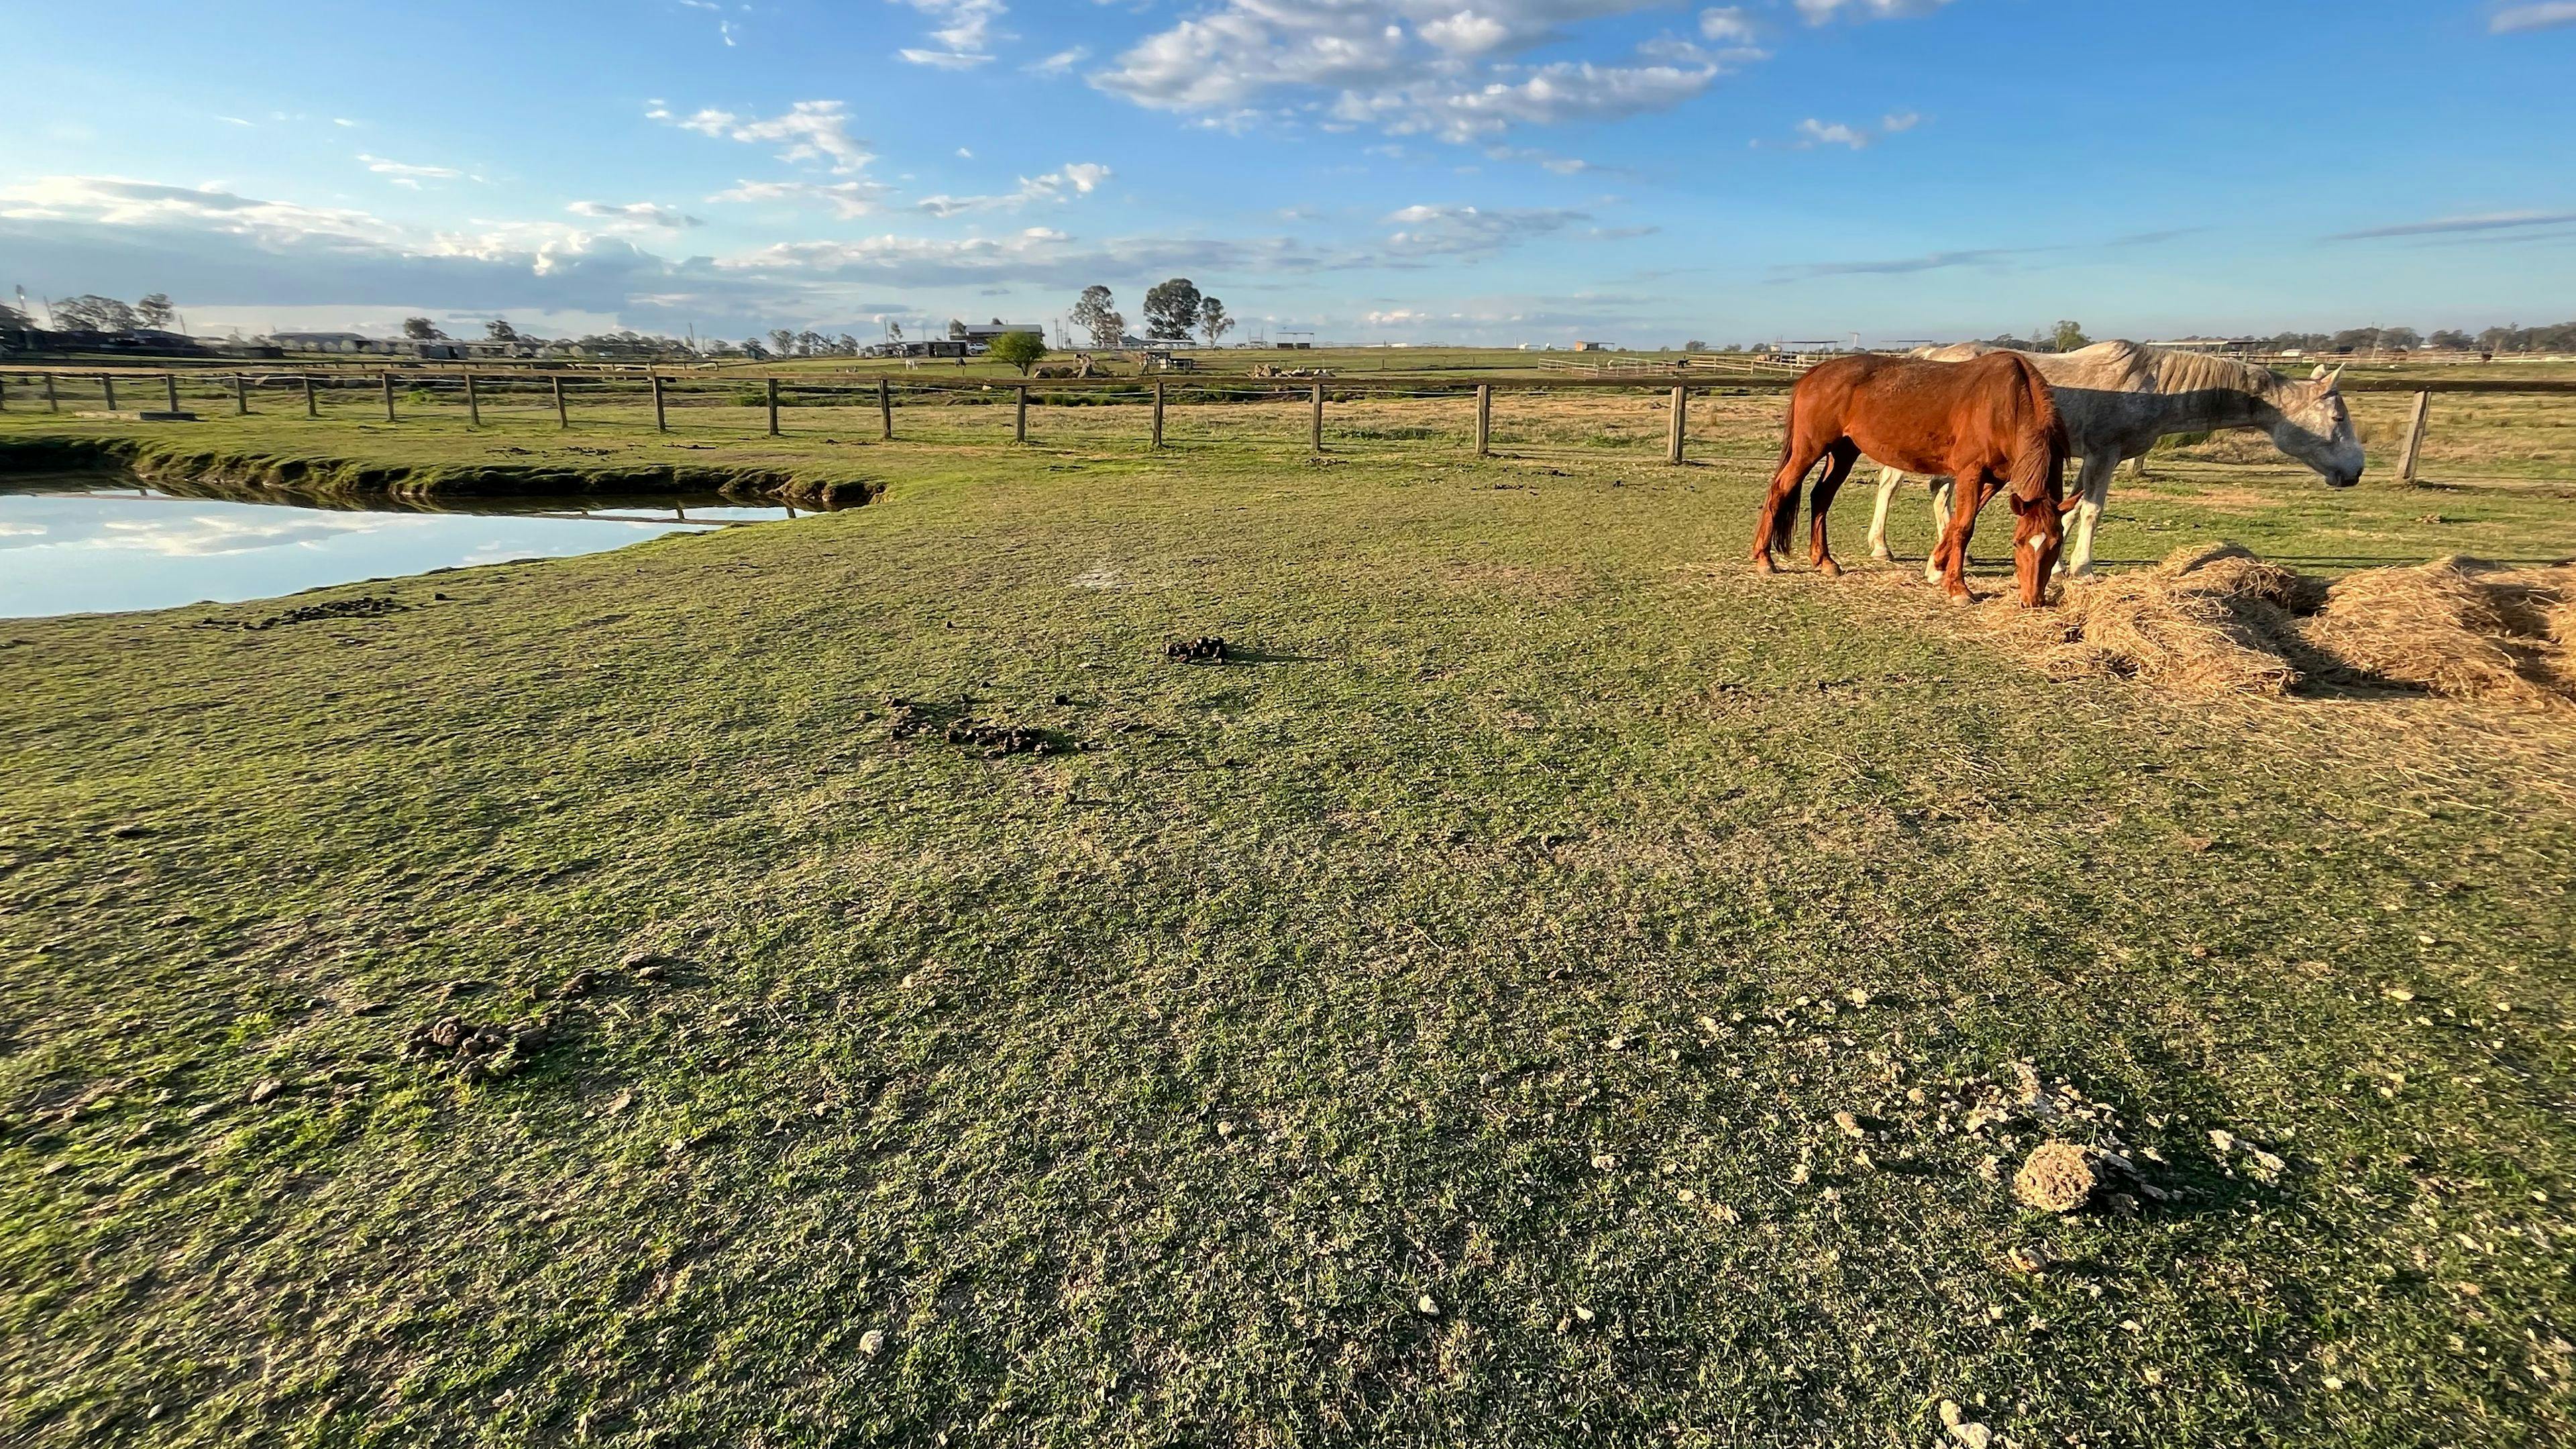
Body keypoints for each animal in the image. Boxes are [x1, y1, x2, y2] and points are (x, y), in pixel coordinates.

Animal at [1751, 352, 2070, 607]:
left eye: (2057, 545)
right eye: (2018, 543)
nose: (2033, 600)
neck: (2008, 400)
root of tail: (1815, 372)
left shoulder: (1996, 480)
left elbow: (1956, 523)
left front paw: (1936, 567)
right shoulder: (1972, 472)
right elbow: (1964, 527)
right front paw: (1958, 588)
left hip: (1843, 452)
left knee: (1821, 496)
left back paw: (1825, 561)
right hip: (1810, 450)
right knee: (1780, 489)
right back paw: (1765, 559)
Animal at [1864, 342, 2365, 580]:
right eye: (2338, 417)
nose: (2355, 471)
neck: (2157, 387)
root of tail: (1927, 354)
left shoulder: (2090, 457)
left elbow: (2067, 513)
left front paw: (2059, 564)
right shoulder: (2105, 453)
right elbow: (2092, 512)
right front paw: (2084, 568)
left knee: (1937, 492)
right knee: (1892, 486)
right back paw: (1883, 548)